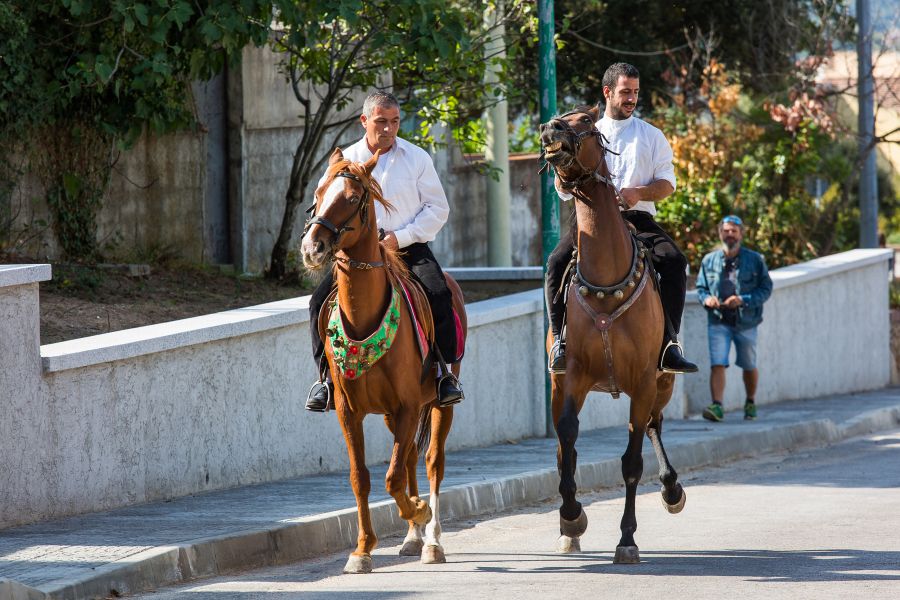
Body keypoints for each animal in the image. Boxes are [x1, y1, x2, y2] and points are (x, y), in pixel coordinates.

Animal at [304, 148, 472, 576]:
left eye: (351, 198)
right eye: (318, 193)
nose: (312, 247)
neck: (363, 317)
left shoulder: (410, 404)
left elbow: (393, 476)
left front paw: (419, 510)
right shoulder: (348, 410)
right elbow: (361, 477)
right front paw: (362, 550)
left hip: (438, 405)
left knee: (430, 461)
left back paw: (432, 539)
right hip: (391, 415)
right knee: (410, 456)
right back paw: (413, 538)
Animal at [540, 105, 684, 564]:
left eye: (586, 121)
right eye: (559, 116)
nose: (549, 130)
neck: (606, 277)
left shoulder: (642, 381)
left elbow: (632, 462)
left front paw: (627, 538)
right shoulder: (571, 378)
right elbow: (567, 439)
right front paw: (571, 517)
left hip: (663, 382)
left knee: (655, 424)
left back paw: (672, 489)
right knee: (562, 448)